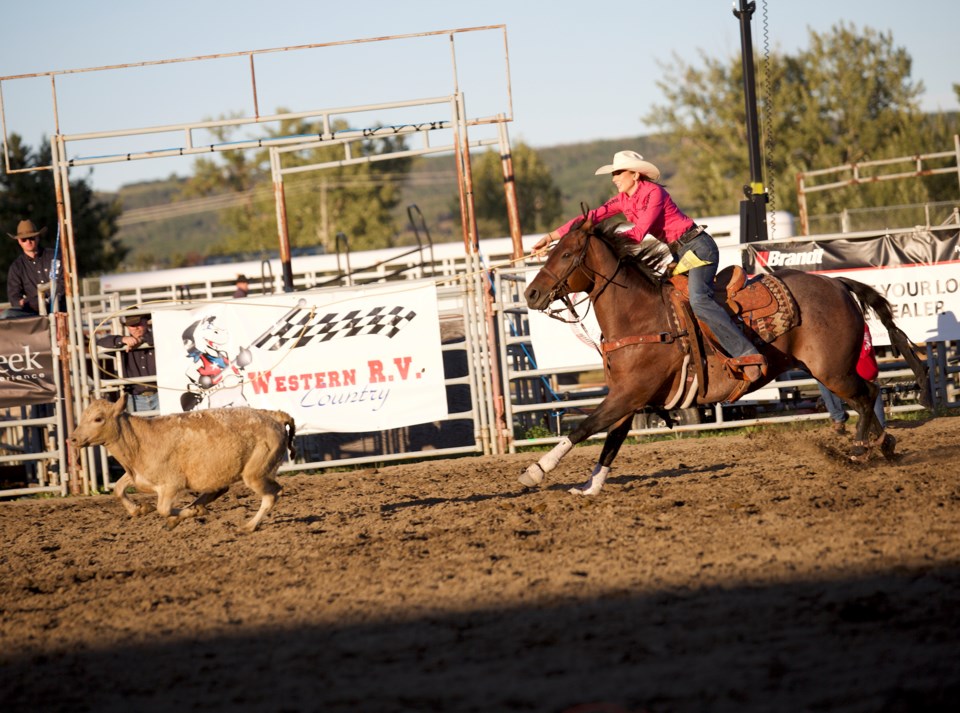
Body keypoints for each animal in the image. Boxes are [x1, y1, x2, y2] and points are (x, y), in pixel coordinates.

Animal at [516, 218, 928, 496]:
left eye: (567, 254)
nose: (531, 294)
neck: (641, 316)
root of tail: (838, 283)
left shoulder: (629, 393)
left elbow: (584, 427)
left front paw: (535, 471)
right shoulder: (629, 397)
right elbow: (612, 439)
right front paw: (591, 485)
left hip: (833, 370)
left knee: (868, 395)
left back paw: (858, 453)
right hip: (833, 371)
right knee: (867, 397)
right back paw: (883, 447)